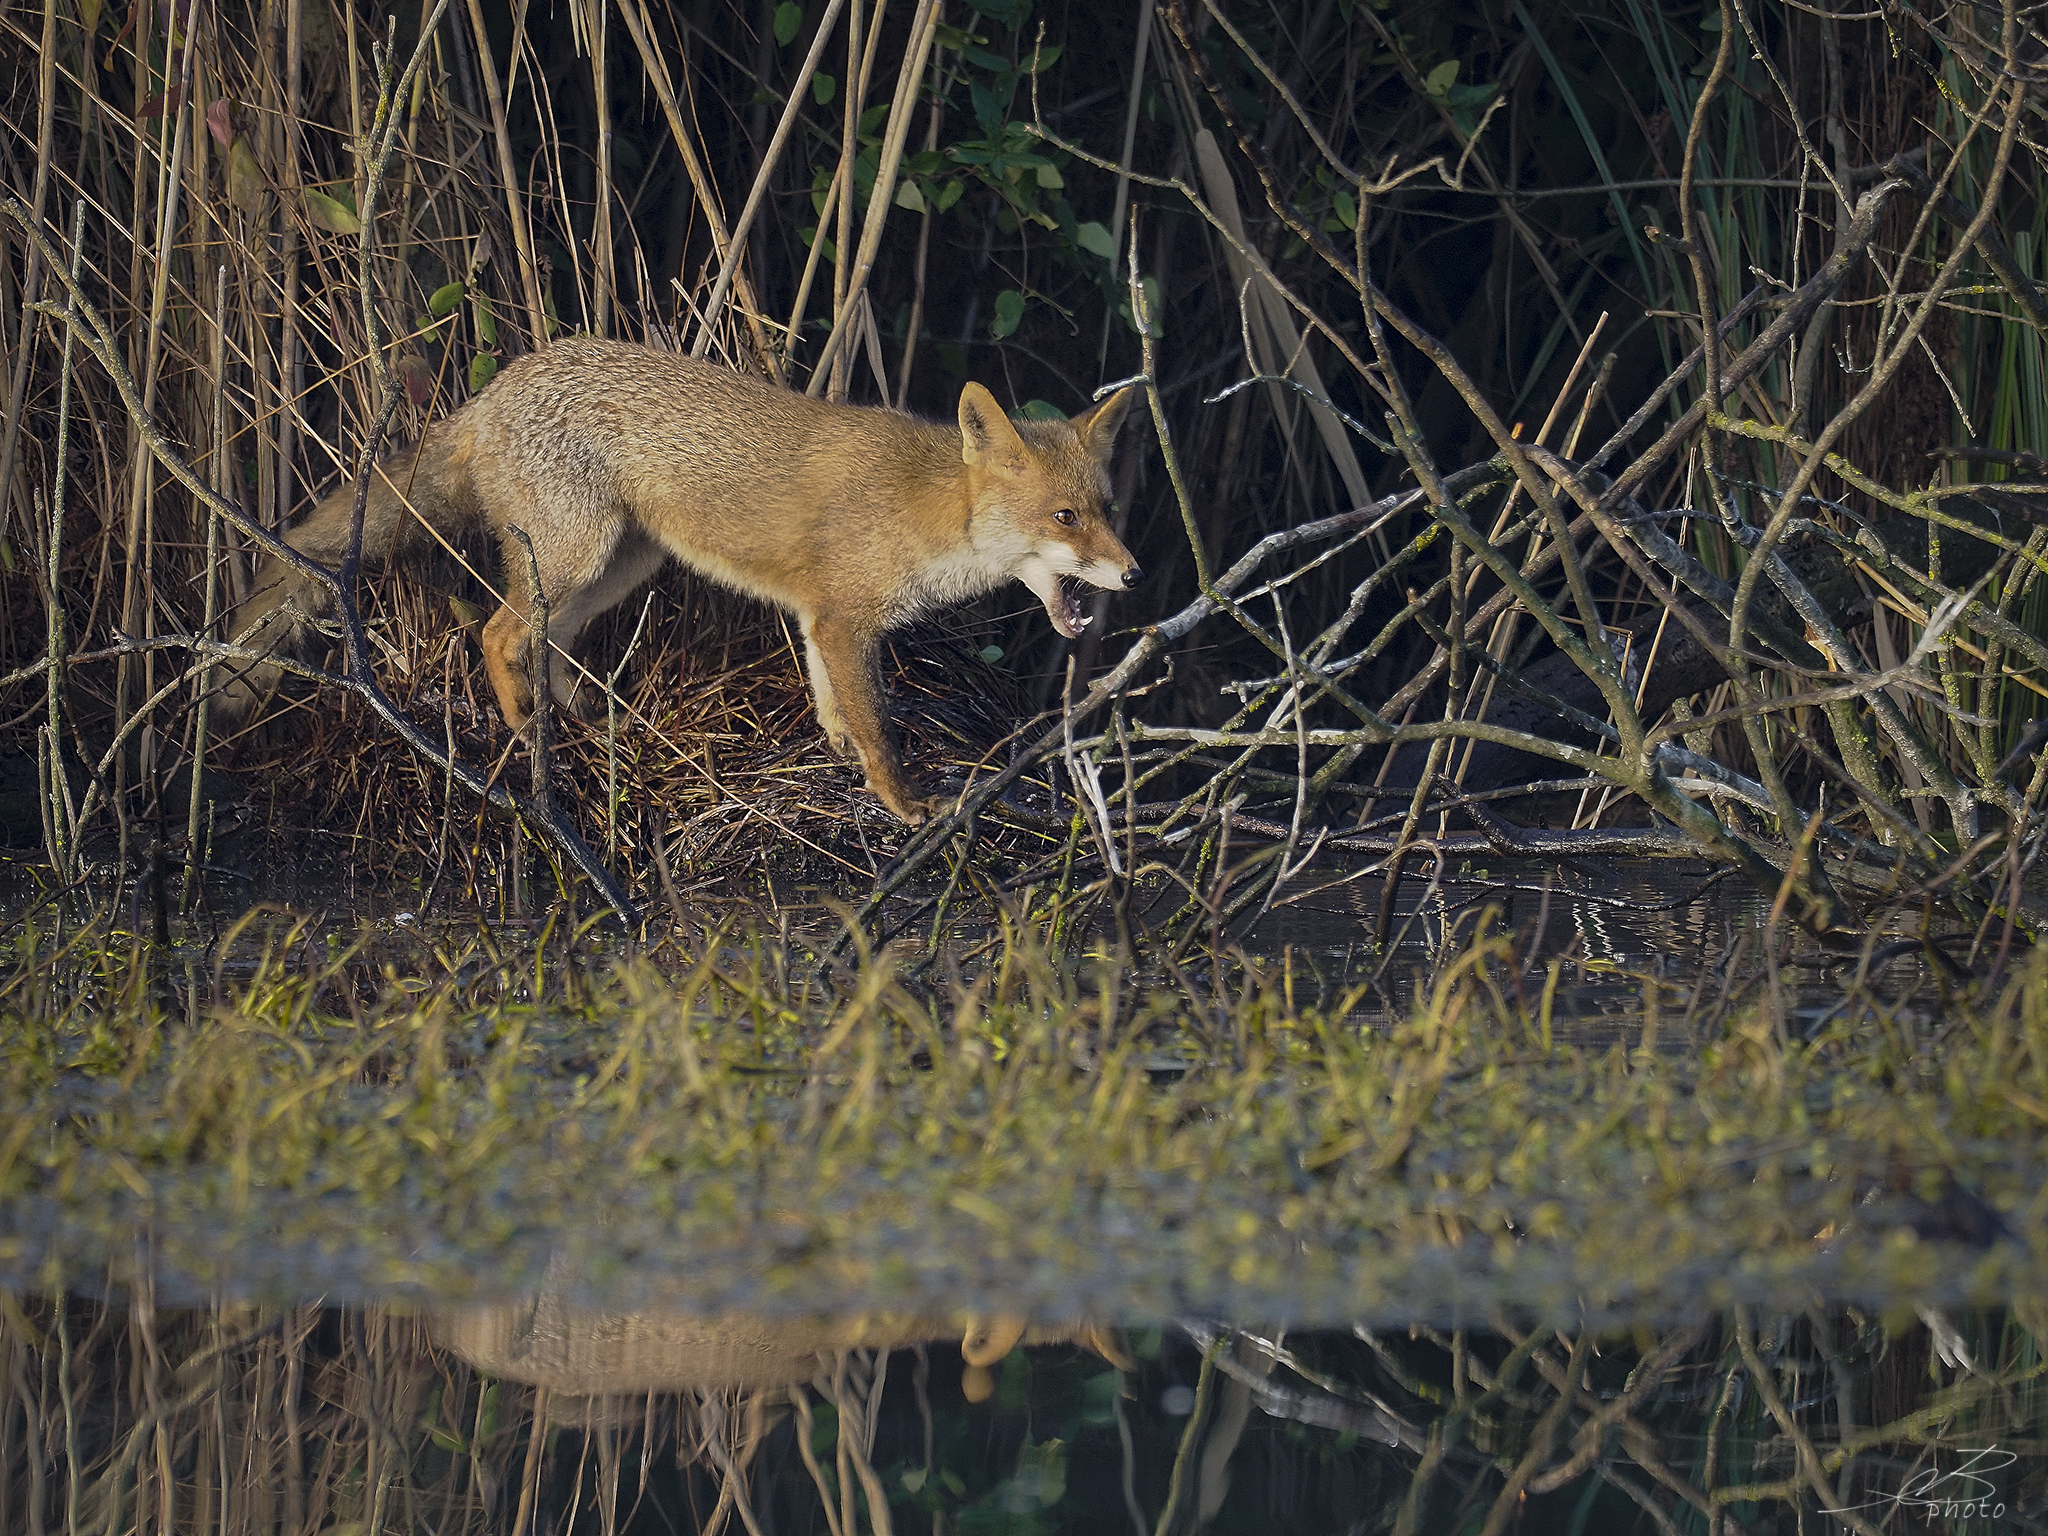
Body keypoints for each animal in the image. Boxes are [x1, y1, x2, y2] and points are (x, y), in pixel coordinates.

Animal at [219, 337, 1142, 824]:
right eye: (1065, 519)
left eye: (1107, 507)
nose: (1132, 573)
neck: (926, 508)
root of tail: (500, 383)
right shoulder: (847, 620)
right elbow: (878, 725)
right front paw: (902, 800)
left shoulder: (819, 618)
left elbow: (833, 705)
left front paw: (837, 753)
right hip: (577, 555)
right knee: (494, 630)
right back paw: (523, 733)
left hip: (622, 565)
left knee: (549, 641)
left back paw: (586, 726)